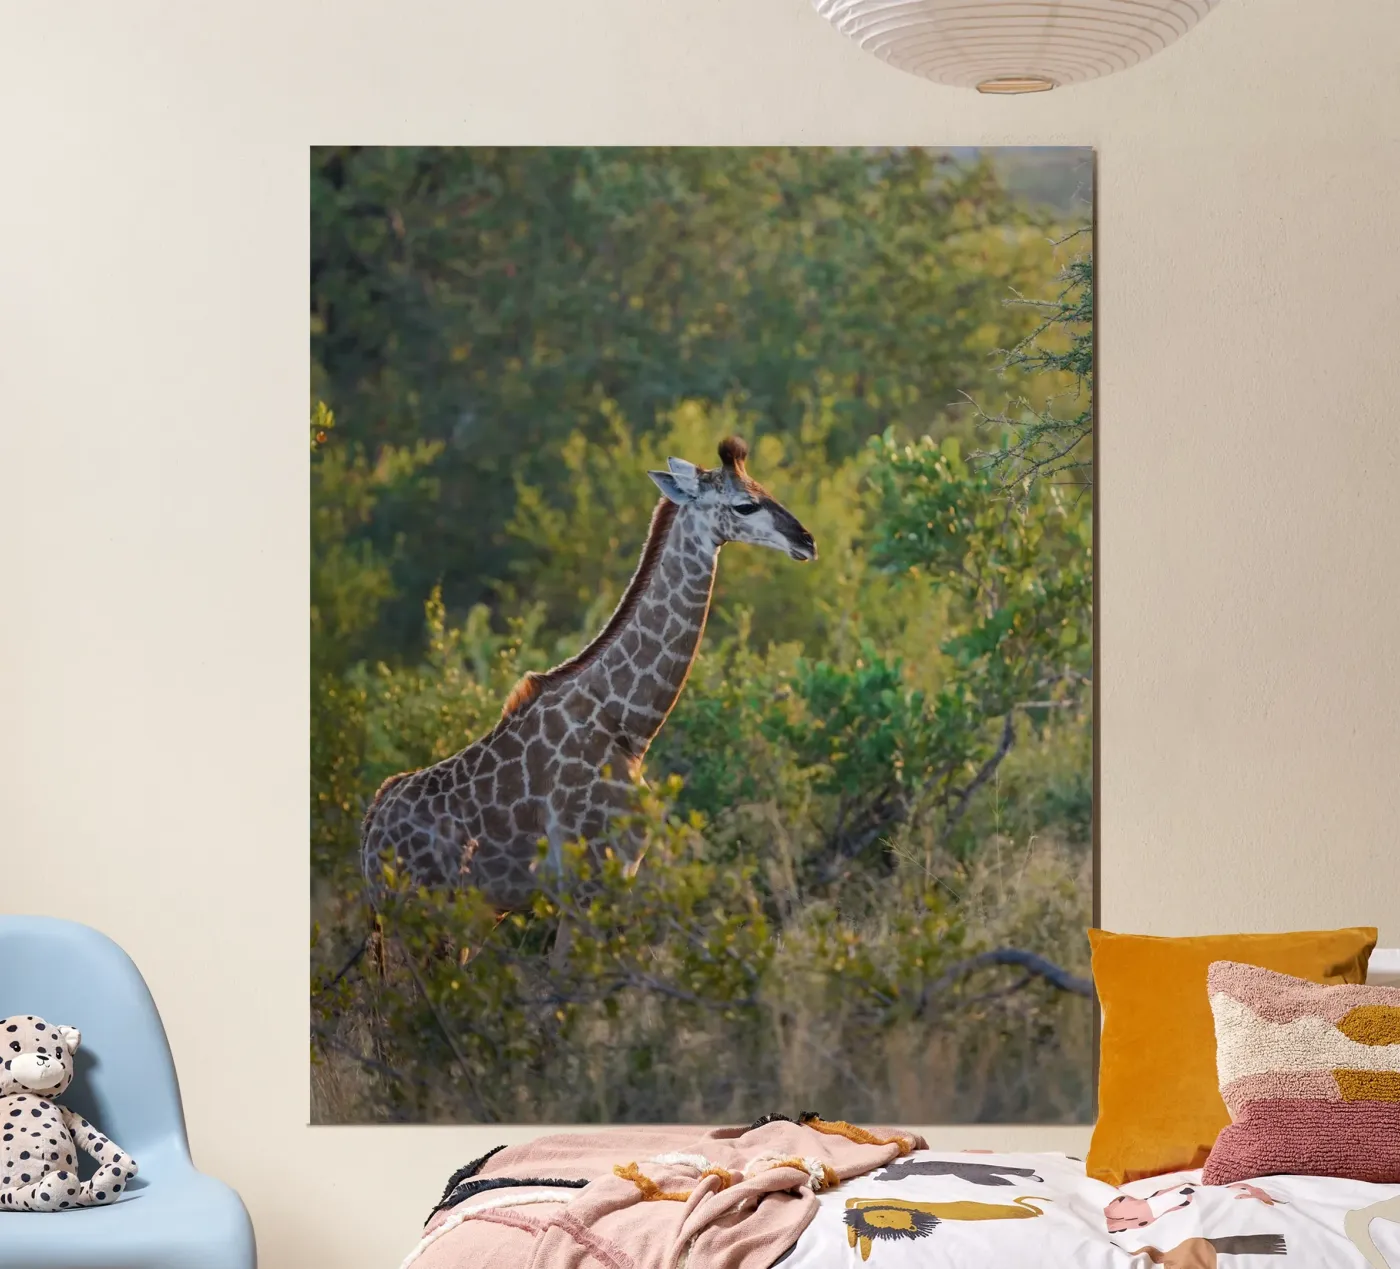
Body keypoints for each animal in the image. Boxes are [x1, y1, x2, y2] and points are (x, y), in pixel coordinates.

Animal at [359, 435, 817, 911]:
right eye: (745, 505)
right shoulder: (586, 878)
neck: (629, 723)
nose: (807, 540)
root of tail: (369, 837)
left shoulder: (617, 873)